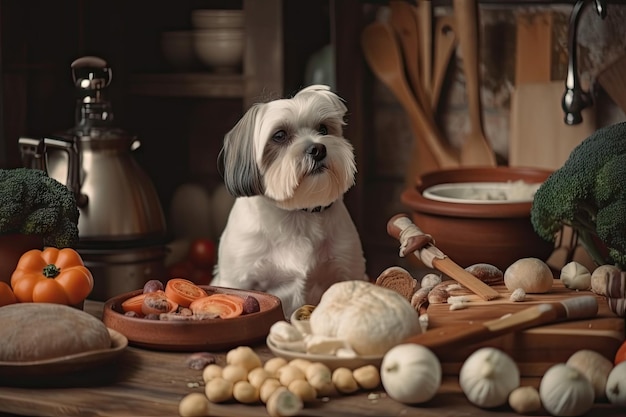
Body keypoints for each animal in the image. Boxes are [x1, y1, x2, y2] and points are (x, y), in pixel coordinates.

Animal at [212, 84, 366, 316]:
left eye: (323, 129)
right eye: (279, 135)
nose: (318, 149)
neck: (296, 212)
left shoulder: (349, 270)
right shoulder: (237, 278)